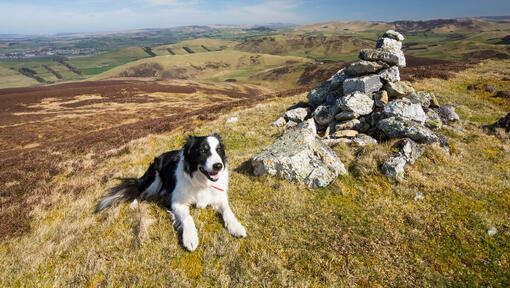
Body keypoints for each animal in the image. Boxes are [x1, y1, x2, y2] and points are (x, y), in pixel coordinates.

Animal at [97, 134, 247, 251]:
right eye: (202, 150)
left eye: (219, 150)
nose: (218, 166)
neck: (202, 182)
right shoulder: (176, 203)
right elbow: (187, 218)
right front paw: (190, 238)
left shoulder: (219, 198)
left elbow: (228, 211)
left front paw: (236, 226)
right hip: (155, 180)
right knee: (141, 192)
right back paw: (134, 204)